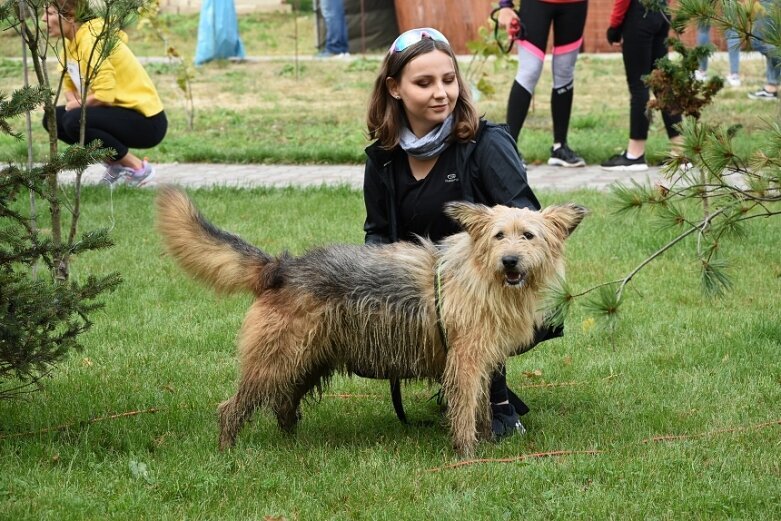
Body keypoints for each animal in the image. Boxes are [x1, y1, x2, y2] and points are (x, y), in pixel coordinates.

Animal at [155, 187, 580, 456]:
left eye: (529, 236)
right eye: (498, 235)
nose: (510, 261)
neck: (481, 274)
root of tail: (282, 268)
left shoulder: (481, 360)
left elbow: (479, 406)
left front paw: (487, 440)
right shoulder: (465, 360)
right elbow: (464, 409)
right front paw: (467, 453)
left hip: (308, 359)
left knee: (284, 402)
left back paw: (291, 443)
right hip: (274, 360)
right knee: (233, 407)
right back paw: (228, 451)